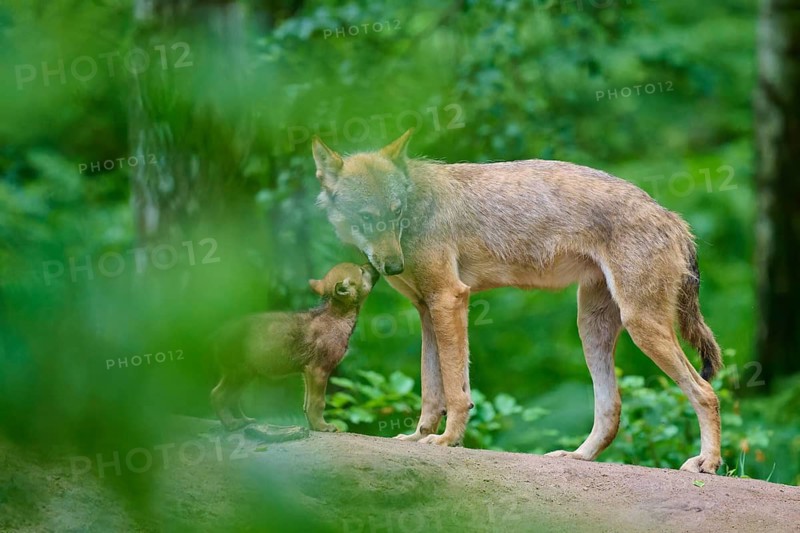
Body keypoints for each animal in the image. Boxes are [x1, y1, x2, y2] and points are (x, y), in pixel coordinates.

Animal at [211, 262, 378, 432]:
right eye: (361, 271)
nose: (371, 264)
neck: (337, 316)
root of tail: (217, 335)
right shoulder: (319, 369)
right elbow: (318, 403)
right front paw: (323, 427)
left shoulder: (307, 371)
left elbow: (306, 404)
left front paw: (313, 426)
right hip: (240, 373)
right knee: (219, 395)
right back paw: (232, 424)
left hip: (242, 374)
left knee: (227, 397)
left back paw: (244, 420)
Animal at [312, 129, 723, 473]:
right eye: (367, 217)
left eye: (395, 212)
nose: (393, 264)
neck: (416, 211)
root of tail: (672, 217)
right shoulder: (427, 311)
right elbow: (431, 390)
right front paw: (418, 437)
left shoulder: (449, 299)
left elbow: (456, 391)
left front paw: (447, 441)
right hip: (591, 328)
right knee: (612, 408)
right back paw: (578, 456)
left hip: (641, 327)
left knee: (705, 392)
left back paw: (707, 463)